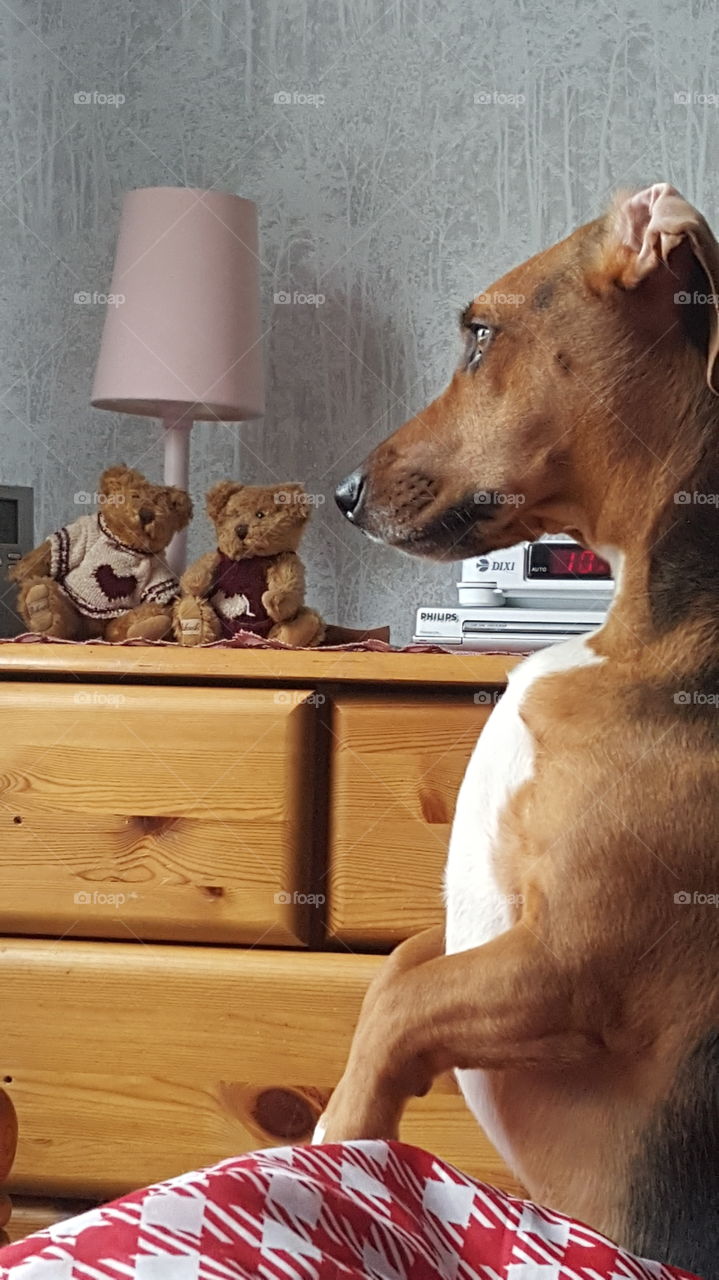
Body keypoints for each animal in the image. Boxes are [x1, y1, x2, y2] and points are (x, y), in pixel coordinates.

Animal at [316, 185, 716, 1274]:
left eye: (480, 333)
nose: (340, 495)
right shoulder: (484, 937)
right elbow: (398, 968)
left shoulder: (566, 966)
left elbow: (395, 1006)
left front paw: (335, 1139)